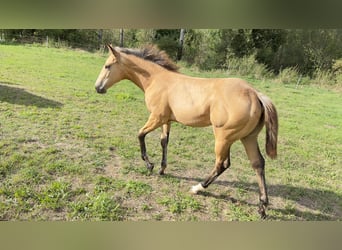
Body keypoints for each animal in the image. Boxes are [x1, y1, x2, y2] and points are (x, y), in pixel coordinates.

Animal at [94, 45, 278, 219]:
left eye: (107, 65)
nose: (97, 87)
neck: (156, 79)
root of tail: (255, 94)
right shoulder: (166, 120)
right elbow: (164, 141)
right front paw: (162, 169)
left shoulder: (157, 118)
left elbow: (140, 134)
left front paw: (149, 165)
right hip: (248, 137)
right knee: (258, 164)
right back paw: (262, 207)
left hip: (224, 137)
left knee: (222, 164)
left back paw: (197, 188)